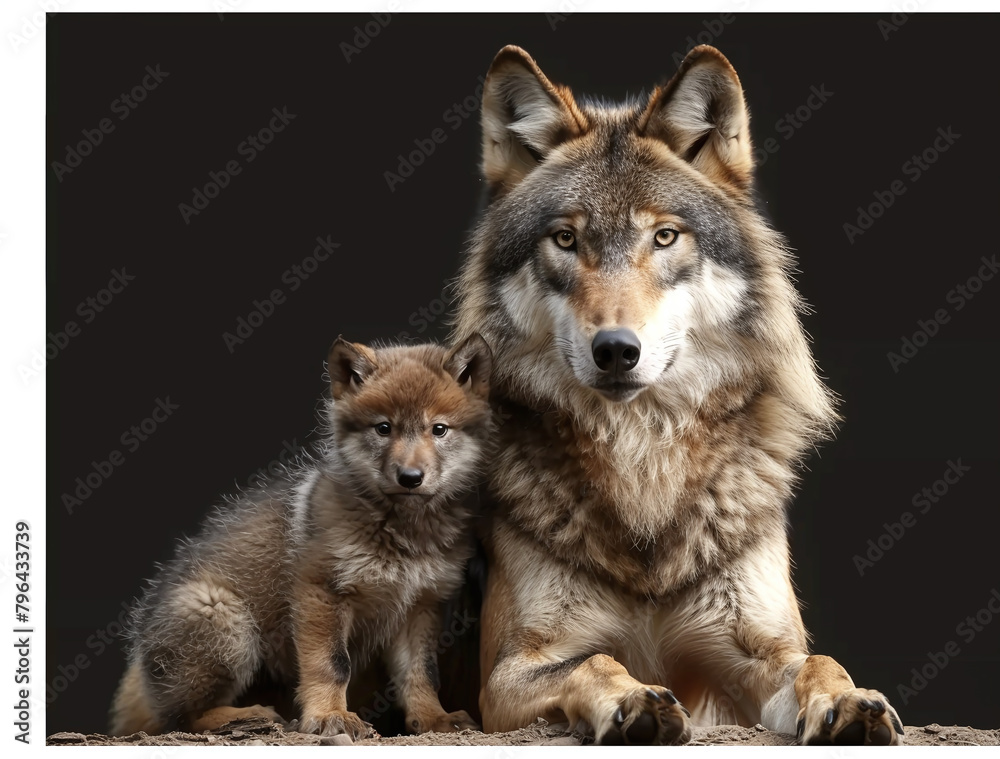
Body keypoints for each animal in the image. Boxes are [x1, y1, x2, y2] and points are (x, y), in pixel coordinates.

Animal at [109, 335, 493, 740]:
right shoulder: (321, 592)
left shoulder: (419, 607)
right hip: (224, 617)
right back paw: (249, 717)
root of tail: (140, 659)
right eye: (383, 428)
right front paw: (329, 716)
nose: (410, 478)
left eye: (439, 429)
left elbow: (422, 675)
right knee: (180, 718)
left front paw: (434, 718)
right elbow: (333, 664)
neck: (404, 533)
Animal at [451, 45, 905, 746]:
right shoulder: (505, 678)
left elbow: (820, 662)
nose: (615, 349)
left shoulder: (751, 662)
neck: (642, 459)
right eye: (565, 239)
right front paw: (631, 701)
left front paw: (849, 701)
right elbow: (596, 661)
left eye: (664, 237)